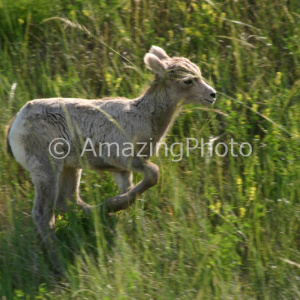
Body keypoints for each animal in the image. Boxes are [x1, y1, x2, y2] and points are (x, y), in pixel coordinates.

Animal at [6, 46, 216, 251]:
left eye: (199, 73)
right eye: (187, 80)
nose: (212, 94)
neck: (144, 118)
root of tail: (13, 126)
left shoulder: (121, 170)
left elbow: (131, 190)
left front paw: (123, 215)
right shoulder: (121, 157)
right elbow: (154, 174)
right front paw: (114, 203)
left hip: (70, 166)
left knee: (67, 200)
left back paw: (100, 215)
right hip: (45, 166)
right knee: (42, 214)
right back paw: (57, 255)